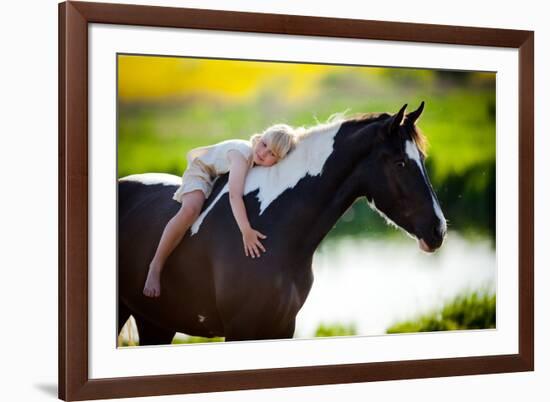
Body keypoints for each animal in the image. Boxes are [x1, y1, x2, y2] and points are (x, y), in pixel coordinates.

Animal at [117, 102, 448, 344]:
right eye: (400, 163)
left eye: (421, 159)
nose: (438, 229)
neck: (274, 227)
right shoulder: (240, 330)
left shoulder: (281, 327)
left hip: (156, 323)